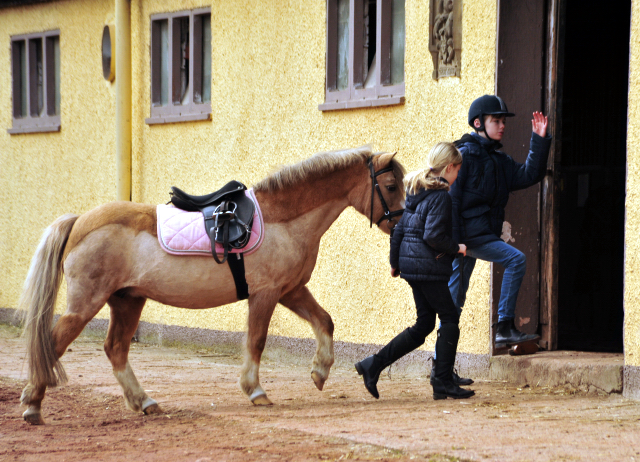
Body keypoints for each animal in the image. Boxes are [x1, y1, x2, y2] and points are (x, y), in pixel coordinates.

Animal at [20, 146, 404, 424]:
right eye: (390, 186)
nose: (400, 224)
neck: (282, 219)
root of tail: (79, 222)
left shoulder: (290, 291)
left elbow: (325, 321)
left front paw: (320, 371)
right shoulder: (266, 294)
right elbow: (256, 340)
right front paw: (255, 391)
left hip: (127, 301)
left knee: (115, 349)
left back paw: (144, 402)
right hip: (86, 304)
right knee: (53, 343)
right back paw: (32, 404)